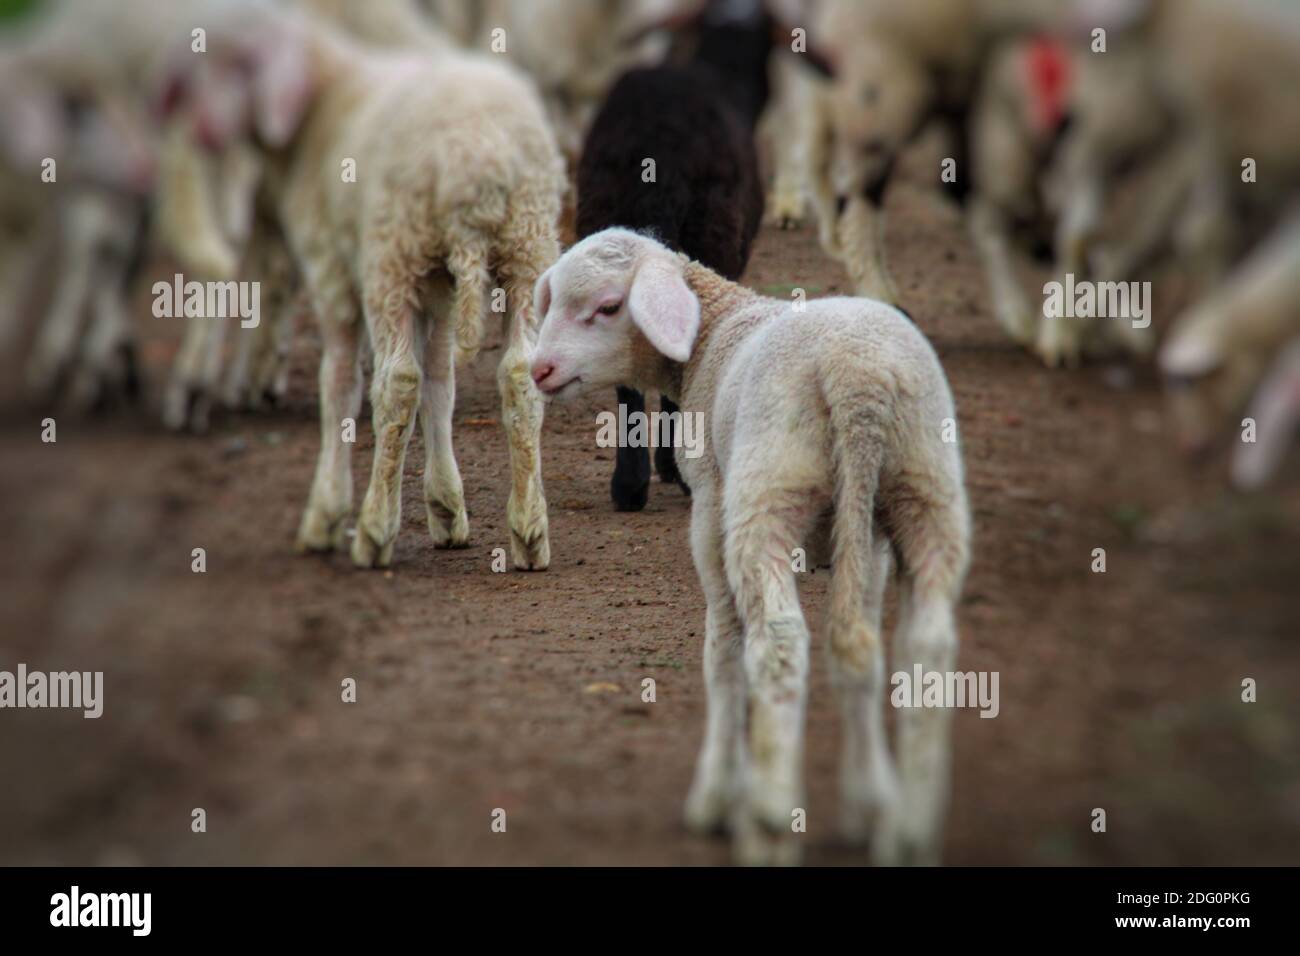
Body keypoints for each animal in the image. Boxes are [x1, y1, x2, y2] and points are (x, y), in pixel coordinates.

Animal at [174, 5, 564, 567]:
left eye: (240, 63)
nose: (202, 130)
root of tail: (475, 160)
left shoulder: (333, 269)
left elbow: (339, 383)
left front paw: (326, 514)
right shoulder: (439, 284)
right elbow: (440, 381)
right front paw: (447, 508)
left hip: (390, 256)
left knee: (396, 382)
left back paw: (375, 529)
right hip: (526, 246)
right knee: (517, 372)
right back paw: (529, 532)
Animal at [530, 227, 977, 863]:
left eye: (609, 307)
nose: (540, 369)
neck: (715, 330)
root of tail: (857, 381)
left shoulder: (710, 507)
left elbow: (722, 651)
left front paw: (718, 795)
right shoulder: (870, 544)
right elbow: (860, 661)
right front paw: (869, 798)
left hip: (766, 492)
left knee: (780, 643)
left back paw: (769, 818)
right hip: (924, 488)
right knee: (926, 646)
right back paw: (909, 830)